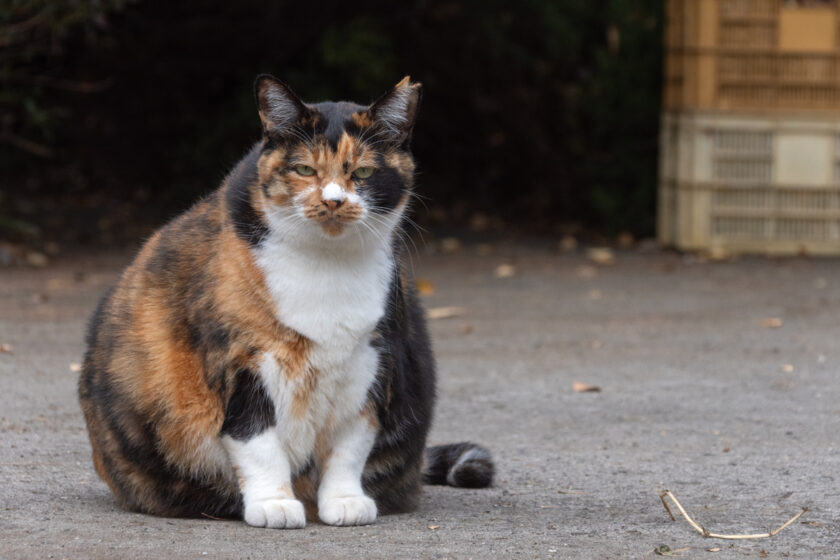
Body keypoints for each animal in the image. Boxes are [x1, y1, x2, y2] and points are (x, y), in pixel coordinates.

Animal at [78, 76, 492, 528]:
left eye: (363, 171)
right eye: (304, 169)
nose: (333, 200)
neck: (326, 268)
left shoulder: (371, 360)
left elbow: (351, 443)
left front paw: (345, 500)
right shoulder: (240, 362)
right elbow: (257, 442)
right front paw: (272, 503)